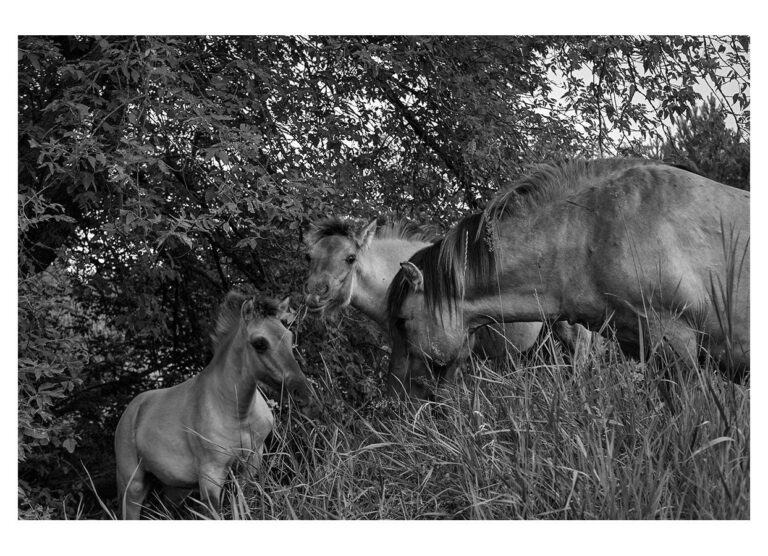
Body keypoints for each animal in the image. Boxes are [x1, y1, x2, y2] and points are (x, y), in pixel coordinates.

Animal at [114, 292, 317, 519]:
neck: (237, 413)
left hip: (174, 488)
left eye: (289, 338)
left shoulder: (251, 464)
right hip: (132, 485)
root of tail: (133, 409)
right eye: (260, 343)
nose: (305, 394)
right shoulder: (211, 475)